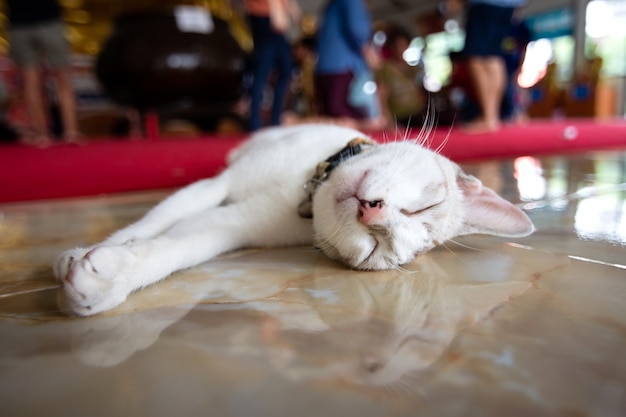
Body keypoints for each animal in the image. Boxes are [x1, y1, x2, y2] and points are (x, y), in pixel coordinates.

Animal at [54, 123, 532, 316]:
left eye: (376, 249)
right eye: (426, 206)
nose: (373, 213)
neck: (304, 187)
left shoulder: (230, 225)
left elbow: (175, 246)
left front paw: (111, 275)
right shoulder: (216, 185)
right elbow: (153, 221)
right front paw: (95, 249)